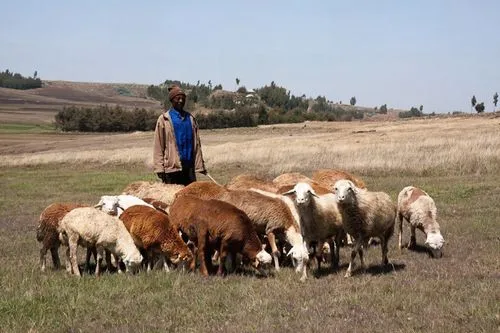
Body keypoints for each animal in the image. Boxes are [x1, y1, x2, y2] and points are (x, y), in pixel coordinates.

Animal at [175, 180, 308, 276]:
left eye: (305, 260)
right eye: (296, 259)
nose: (299, 272)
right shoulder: (270, 229)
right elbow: (276, 252)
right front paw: (277, 268)